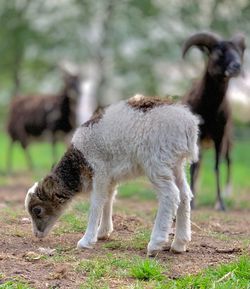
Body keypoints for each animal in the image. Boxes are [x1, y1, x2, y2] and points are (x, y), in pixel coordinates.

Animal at [181, 32, 245, 209]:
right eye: (218, 53)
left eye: (239, 52)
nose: (236, 67)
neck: (209, 110)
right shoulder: (197, 135)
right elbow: (194, 166)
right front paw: (193, 203)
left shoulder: (219, 136)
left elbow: (217, 166)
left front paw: (221, 204)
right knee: (199, 164)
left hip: (228, 140)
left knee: (228, 160)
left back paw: (227, 194)